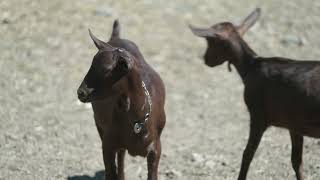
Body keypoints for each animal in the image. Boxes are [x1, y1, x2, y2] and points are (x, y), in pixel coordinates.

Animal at [77, 19, 166, 180]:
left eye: (107, 70)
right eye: (91, 64)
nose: (81, 93)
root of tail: (116, 37)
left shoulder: (156, 148)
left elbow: (152, 175)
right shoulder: (108, 144)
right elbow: (111, 172)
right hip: (100, 126)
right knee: (121, 157)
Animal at [189, 7, 320, 179]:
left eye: (210, 42)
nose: (205, 59)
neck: (250, 67)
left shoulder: (258, 116)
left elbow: (247, 154)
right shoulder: (294, 124)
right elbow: (296, 161)